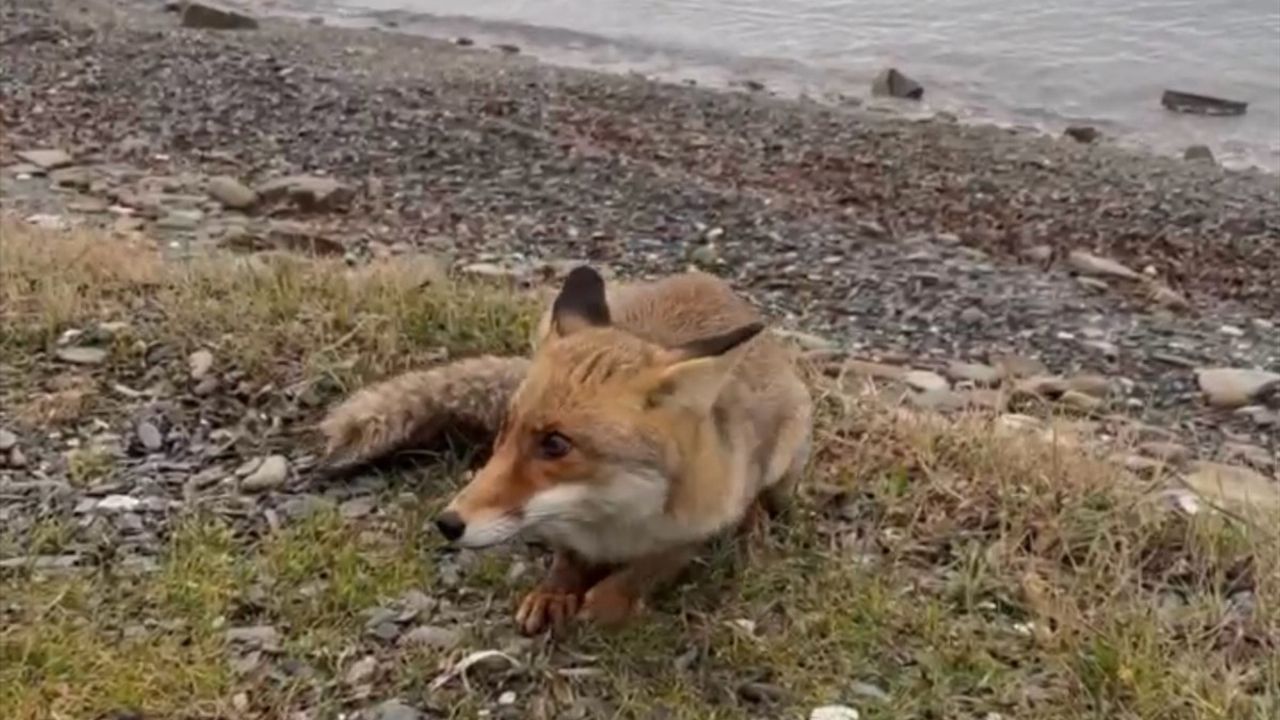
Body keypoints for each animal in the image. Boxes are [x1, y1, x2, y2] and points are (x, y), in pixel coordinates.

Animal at [317, 266, 808, 630]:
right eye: (506, 427)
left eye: (555, 444)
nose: (447, 523)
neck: (611, 517)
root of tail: (710, 281)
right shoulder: (567, 532)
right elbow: (567, 560)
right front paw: (555, 592)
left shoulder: (696, 526)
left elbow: (650, 567)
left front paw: (610, 599)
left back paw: (756, 522)